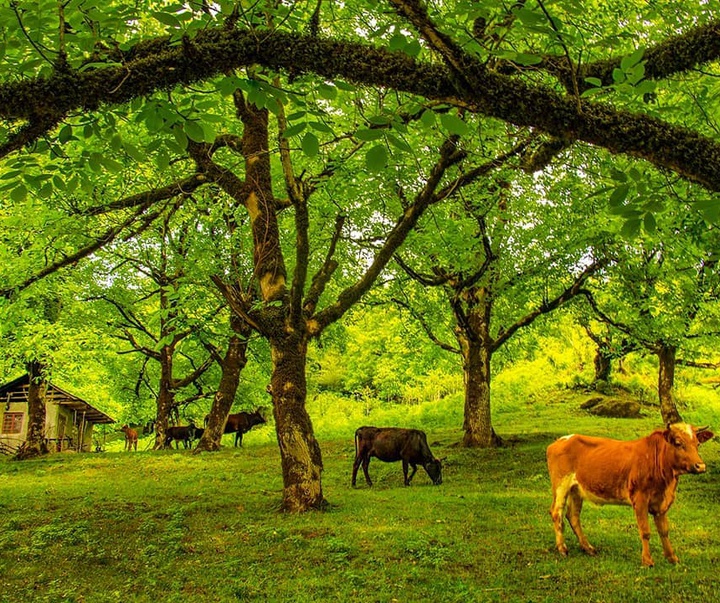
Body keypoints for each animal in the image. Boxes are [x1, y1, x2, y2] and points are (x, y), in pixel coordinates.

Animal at [548, 422, 712, 568]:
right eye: (678, 443)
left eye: (697, 444)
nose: (700, 466)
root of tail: (562, 439)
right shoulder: (640, 498)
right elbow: (645, 531)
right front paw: (647, 561)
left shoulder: (661, 503)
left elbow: (664, 531)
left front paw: (672, 558)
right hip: (561, 484)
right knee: (557, 512)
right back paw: (562, 548)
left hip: (576, 489)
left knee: (573, 515)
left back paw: (588, 547)